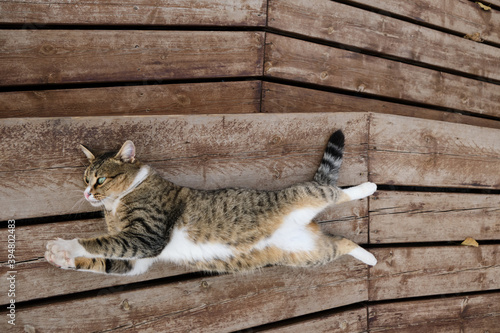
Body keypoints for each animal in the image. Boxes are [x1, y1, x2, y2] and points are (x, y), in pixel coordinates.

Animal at [45, 130, 376, 274]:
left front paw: (65, 246)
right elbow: (106, 257)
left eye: (100, 179)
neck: (117, 203)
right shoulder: (140, 256)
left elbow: (100, 242)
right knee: (342, 242)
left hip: (306, 195)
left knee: (335, 192)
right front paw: (62, 258)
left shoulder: (147, 236)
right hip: (309, 255)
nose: (87, 193)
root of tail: (307, 224)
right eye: (85, 179)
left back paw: (368, 186)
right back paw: (369, 257)